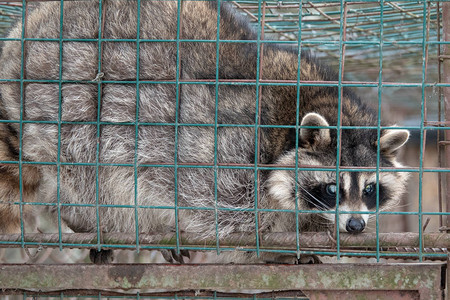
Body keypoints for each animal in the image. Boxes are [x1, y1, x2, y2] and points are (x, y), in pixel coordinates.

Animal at [0, 0, 408, 262]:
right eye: (332, 188)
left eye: (370, 189)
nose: (355, 225)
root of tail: (26, 29)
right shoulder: (228, 152)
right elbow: (205, 204)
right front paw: (270, 247)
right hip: (68, 102)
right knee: (92, 172)